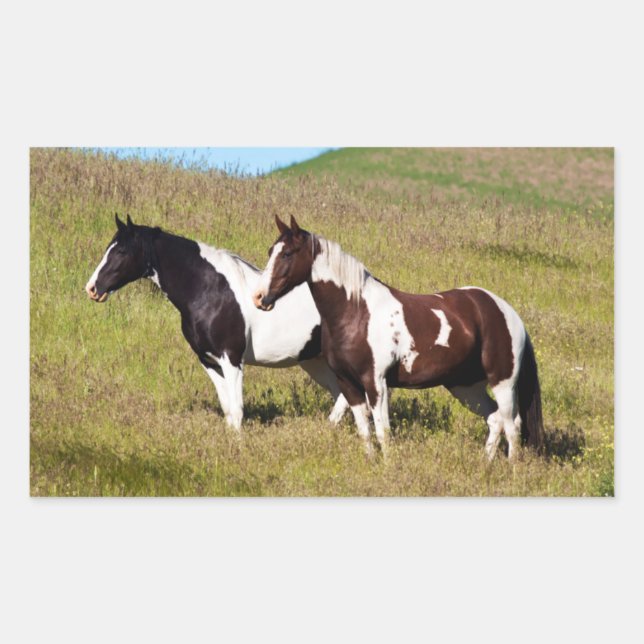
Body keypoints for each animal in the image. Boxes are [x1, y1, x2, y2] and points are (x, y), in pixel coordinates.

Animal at [85, 214, 349, 429]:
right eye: (109, 248)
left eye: (121, 251)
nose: (92, 288)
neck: (210, 291)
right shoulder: (208, 360)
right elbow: (228, 410)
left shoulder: (231, 358)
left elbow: (237, 411)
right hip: (314, 361)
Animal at [253, 215, 544, 461]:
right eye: (270, 251)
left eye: (287, 253)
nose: (259, 298)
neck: (356, 312)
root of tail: (507, 312)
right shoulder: (348, 383)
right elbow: (364, 430)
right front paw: (371, 462)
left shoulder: (377, 383)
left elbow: (383, 431)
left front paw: (388, 465)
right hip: (465, 385)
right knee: (495, 419)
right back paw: (486, 464)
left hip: (502, 382)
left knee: (512, 424)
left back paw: (512, 468)